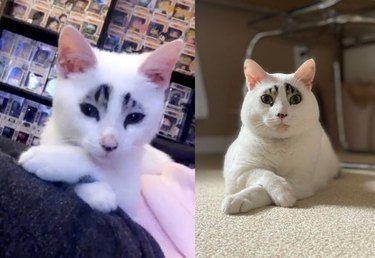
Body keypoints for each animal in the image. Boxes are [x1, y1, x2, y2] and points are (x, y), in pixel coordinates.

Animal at [18, 25, 181, 218]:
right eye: (89, 110)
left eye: (134, 118)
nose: (109, 145)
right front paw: (98, 193)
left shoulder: (131, 196)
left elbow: (99, 167)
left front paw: (47, 159)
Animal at [220, 58, 340, 214]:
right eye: (266, 98)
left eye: (295, 99)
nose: (281, 114)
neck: (280, 144)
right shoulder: (238, 172)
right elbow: (265, 174)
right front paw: (236, 198)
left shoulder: (300, 180)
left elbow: (261, 189)